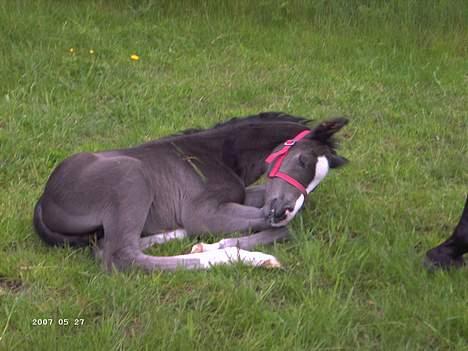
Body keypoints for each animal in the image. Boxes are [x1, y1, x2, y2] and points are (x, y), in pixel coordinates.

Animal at [33, 113, 348, 272]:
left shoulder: (244, 196)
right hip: (131, 177)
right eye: (302, 160)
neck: (219, 154)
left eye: (316, 183)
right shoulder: (204, 212)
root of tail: (44, 201)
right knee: (122, 257)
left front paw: (209, 243)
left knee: (105, 246)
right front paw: (219, 247)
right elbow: (289, 228)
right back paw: (247, 259)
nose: (283, 210)